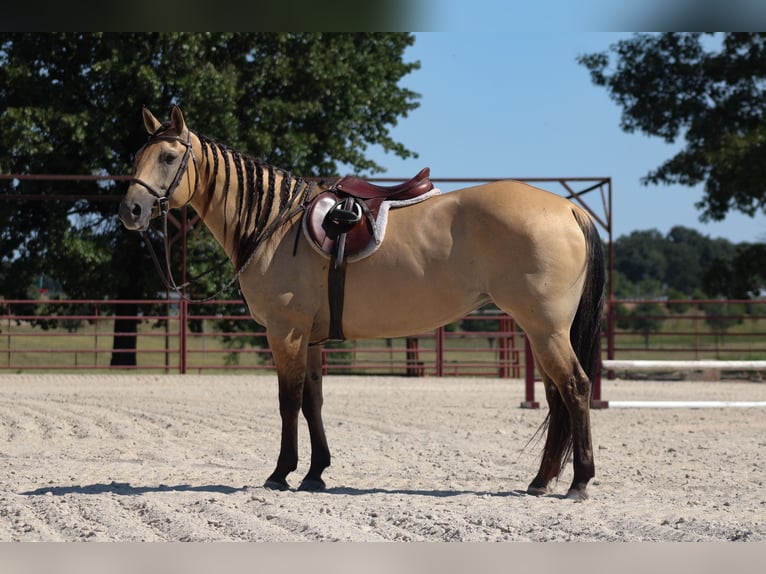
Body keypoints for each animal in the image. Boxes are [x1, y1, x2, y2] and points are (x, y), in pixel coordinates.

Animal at [119, 106, 605, 500]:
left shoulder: (285, 331)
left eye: (168, 157)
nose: (131, 212)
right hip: (539, 331)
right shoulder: (311, 338)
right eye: (136, 156)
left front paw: (281, 472)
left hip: (545, 329)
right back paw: (541, 480)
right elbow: (312, 401)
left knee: (576, 388)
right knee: (556, 395)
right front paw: (315, 472)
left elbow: (287, 400)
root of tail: (568, 208)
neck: (275, 223)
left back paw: (579, 481)